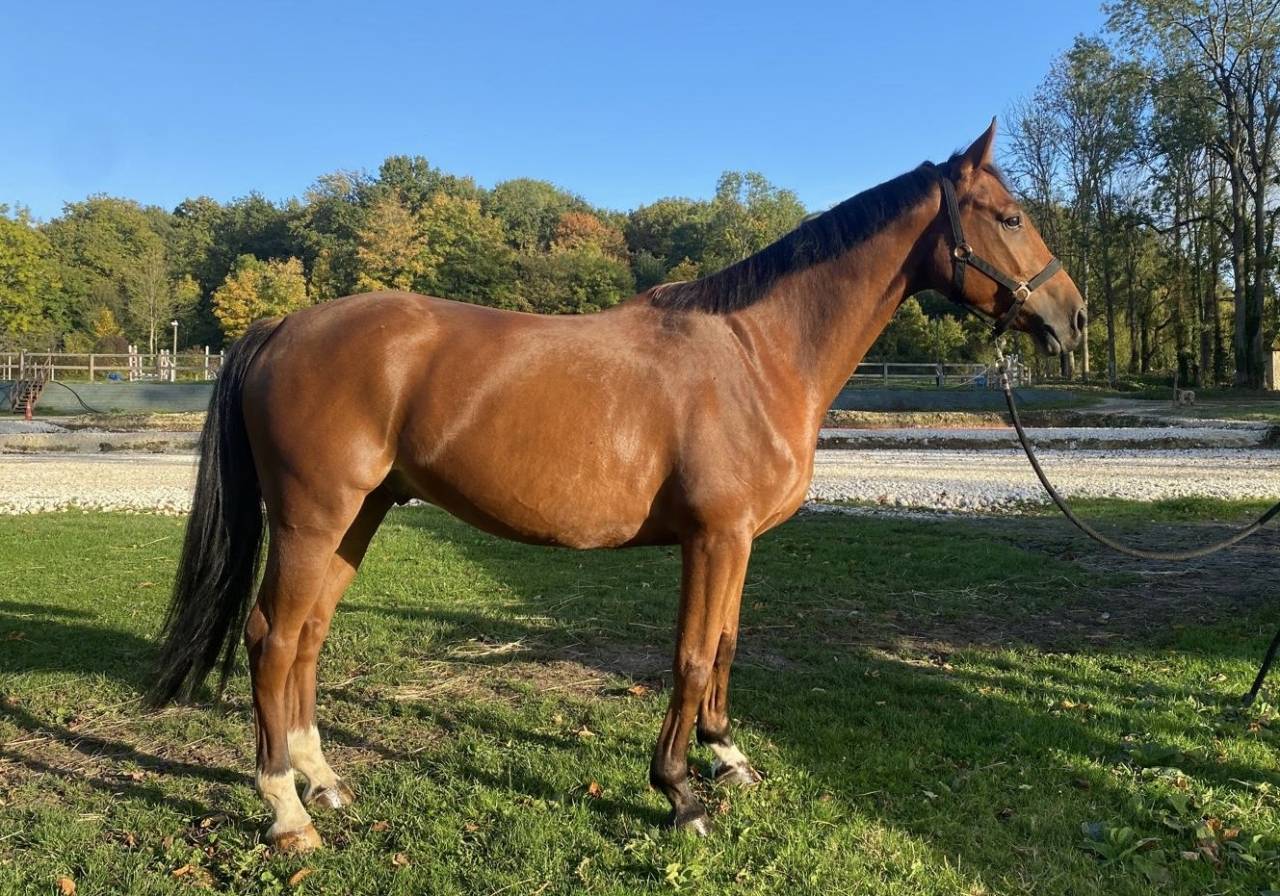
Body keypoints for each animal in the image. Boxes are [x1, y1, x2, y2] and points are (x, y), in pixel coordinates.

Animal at [149, 120, 1086, 851]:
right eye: (1010, 216)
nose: (1071, 318)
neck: (756, 352)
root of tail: (280, 326)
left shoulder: (738, 542)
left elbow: (726, 647)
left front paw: (727, 758)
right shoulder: (714, 538)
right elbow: (692, 654)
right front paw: (678, 792)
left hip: (359, 517)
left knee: (308, 637)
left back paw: (324, 780)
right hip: (313, 520)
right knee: (273, 638)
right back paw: (286, 811)